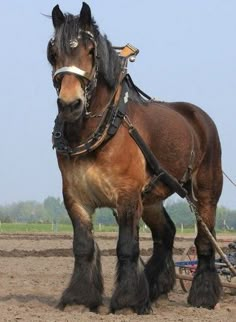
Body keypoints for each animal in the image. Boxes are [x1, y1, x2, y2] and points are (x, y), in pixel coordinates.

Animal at [47, 2, 222, 314]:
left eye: (90, 51)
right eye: (53, 52)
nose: (70, 105)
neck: (100, 131)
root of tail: (199, 116)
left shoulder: (127, 196)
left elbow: (127, 247)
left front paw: (127, 302)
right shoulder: (75, 198)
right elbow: (82, 247)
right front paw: (79, 299)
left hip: (205, 193)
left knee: (204, 240)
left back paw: (202, 295)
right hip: (152, 198)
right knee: (166, 234)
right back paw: (154, 288)